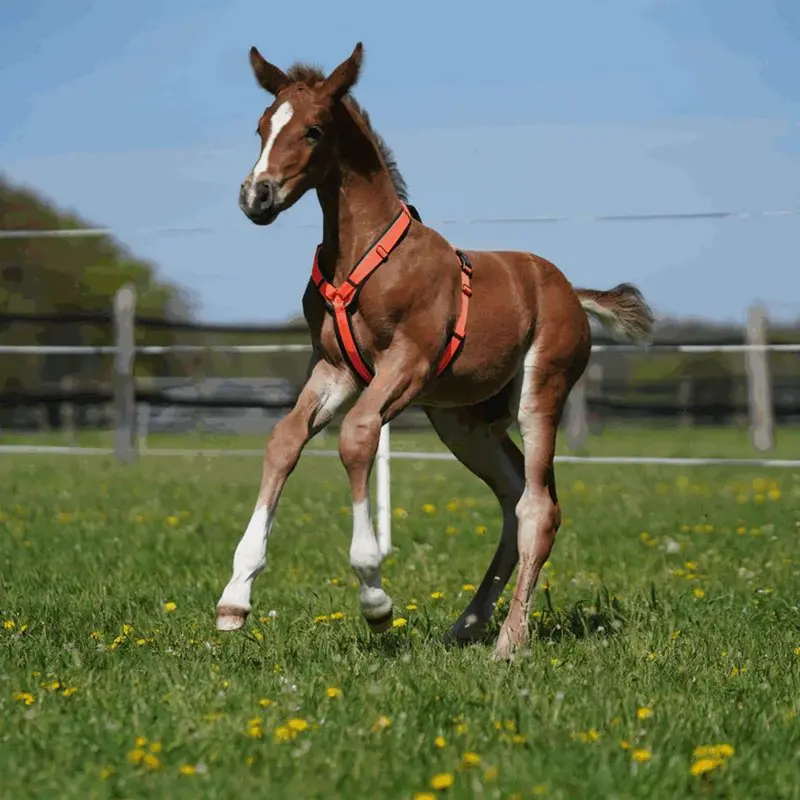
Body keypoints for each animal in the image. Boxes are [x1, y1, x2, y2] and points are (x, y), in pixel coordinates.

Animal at [215, 42, 654, 660]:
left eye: (314, 130)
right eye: (261, 127)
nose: (257, 196)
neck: (363, 257)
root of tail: (573, 291)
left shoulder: (409, 362)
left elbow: (357, 437)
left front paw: (375, 596)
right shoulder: (335, 369)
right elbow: (284, 441)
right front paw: (235, 598)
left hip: (539, 391)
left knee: (539, 508)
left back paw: (508, 643)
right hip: (463, 422)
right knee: (513, 497)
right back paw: (467, 624)